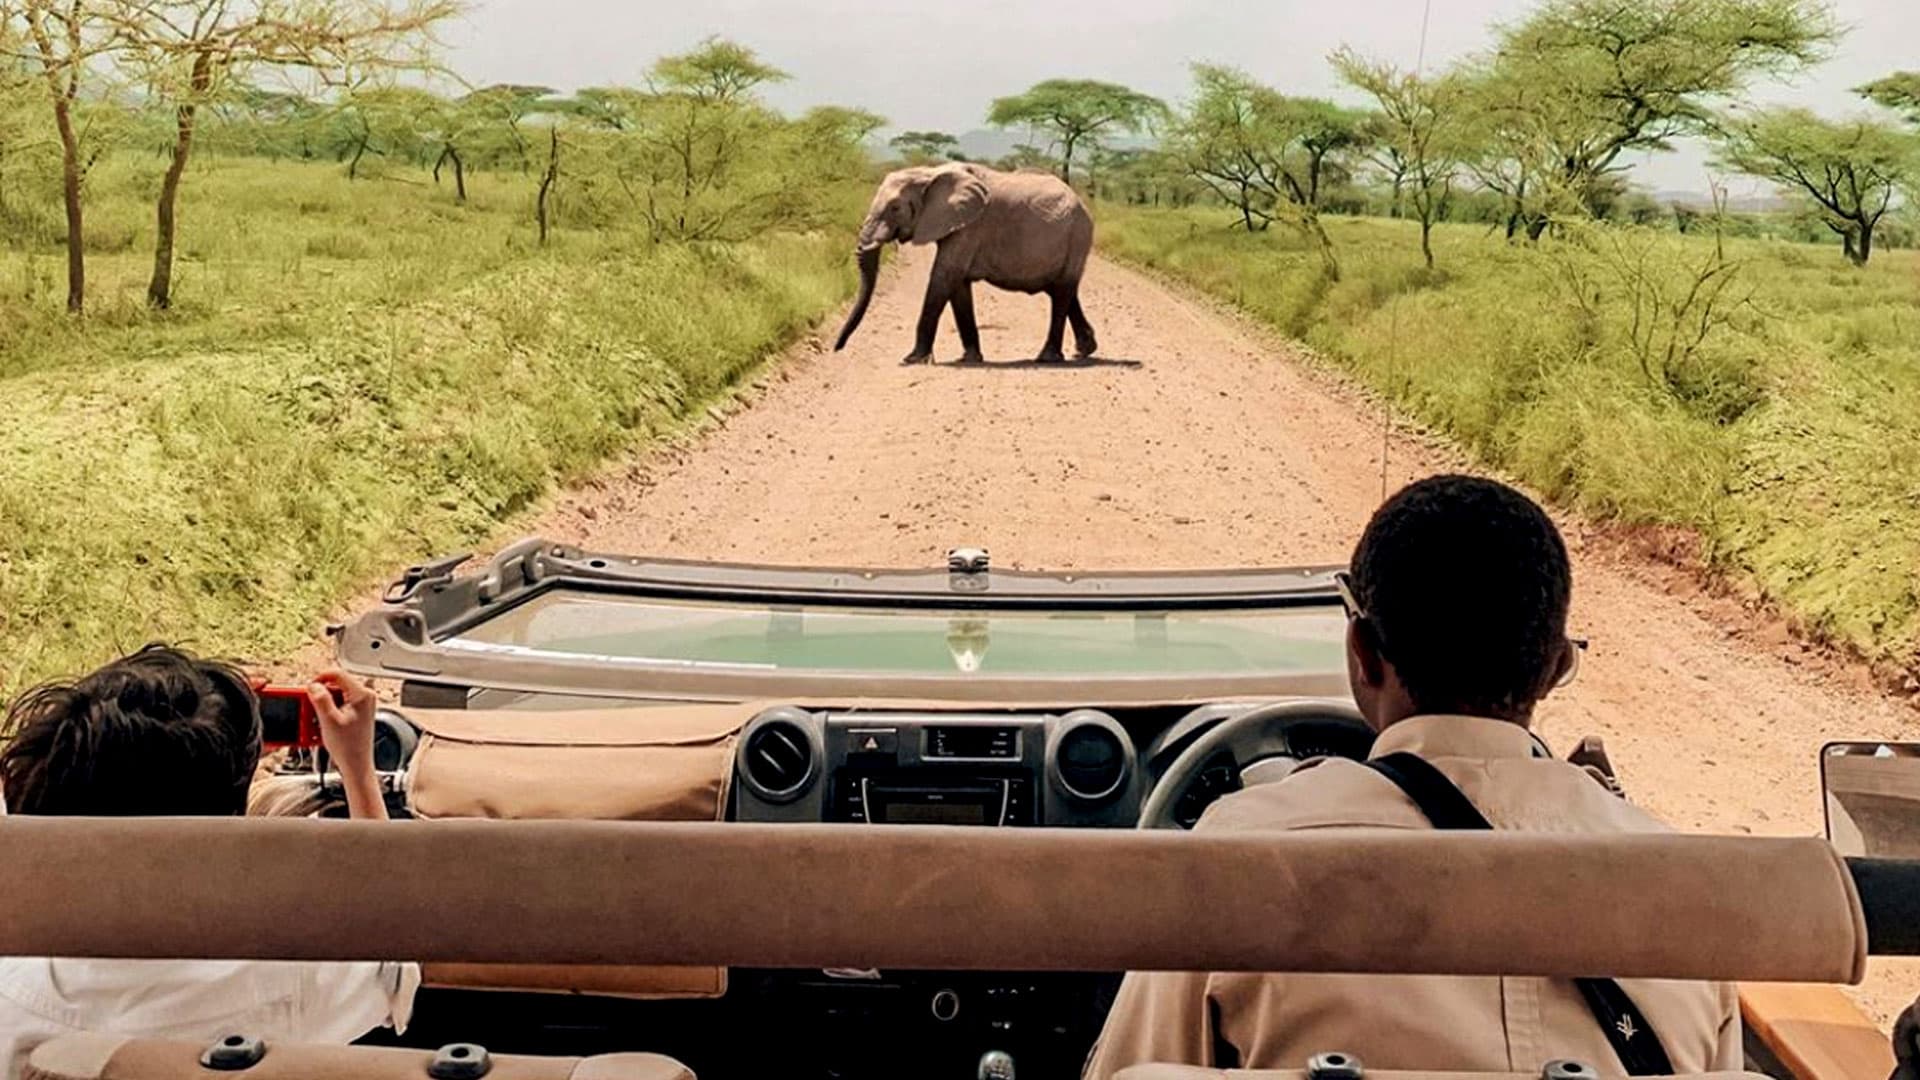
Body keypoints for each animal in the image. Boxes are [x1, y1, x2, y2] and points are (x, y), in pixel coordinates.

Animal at [831, 162, 1098, 365]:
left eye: (895, 208)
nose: (837, 348)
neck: (929, 173)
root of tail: (1083, 204)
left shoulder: (970, 226)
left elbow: (944, 276)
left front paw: (912, 359)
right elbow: (957, 285)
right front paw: (969, 359)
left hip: (1078, 235)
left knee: (1062, 293)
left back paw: (1047, 358)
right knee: (1062, 291)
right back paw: (1084, 351)